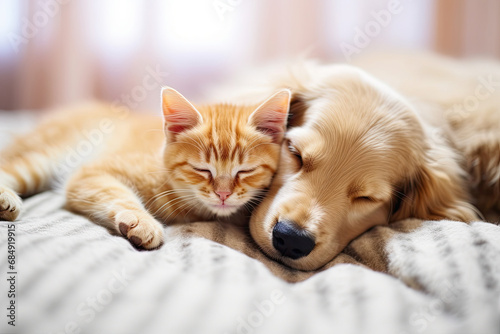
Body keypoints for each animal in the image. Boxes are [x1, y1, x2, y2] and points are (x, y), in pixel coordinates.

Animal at [0, 87, 292, 249]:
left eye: (245, 171)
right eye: (202, 169)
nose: (223, 195)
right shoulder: (90, 173)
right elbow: (117, 193)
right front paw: (141, 221)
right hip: (44, 158)